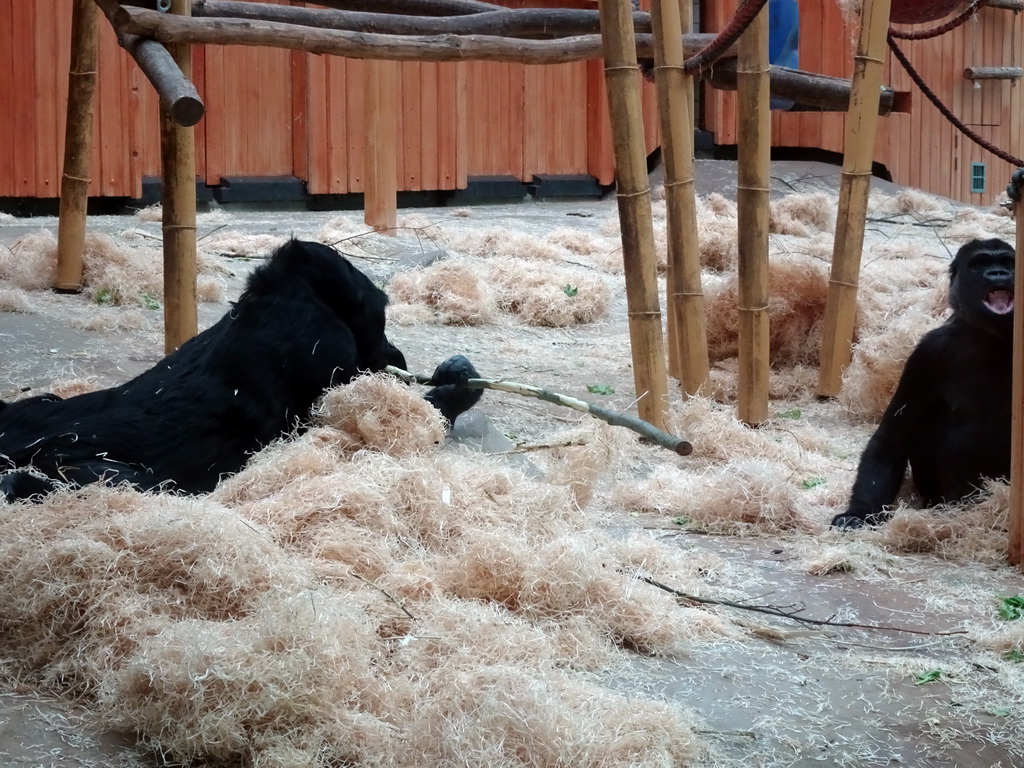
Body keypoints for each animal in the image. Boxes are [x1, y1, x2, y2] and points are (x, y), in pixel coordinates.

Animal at [1, 241, 483, 505]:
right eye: (379, 320)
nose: (394, 354)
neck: (295, 292)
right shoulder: (326, 342)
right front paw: (455, 390)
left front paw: (451, 377)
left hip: (30, 410)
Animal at [831, 239, 1015, 528]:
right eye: (980, 263)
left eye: (1008, 263)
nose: (998, 274)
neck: (994, 336)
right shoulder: (928, 353)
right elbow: (891, 439)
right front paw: (859, 512)